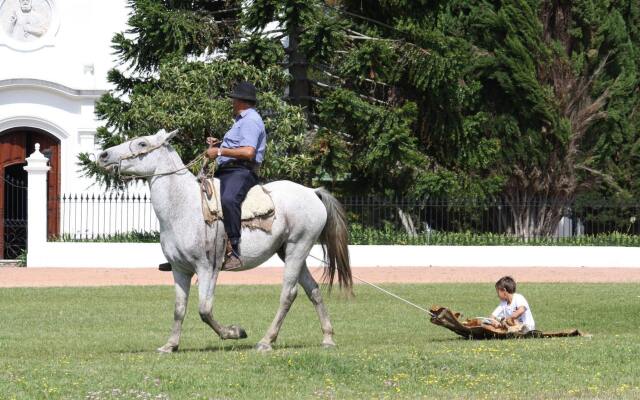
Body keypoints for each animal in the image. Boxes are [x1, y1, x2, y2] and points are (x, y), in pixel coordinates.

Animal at [97, 130, 352, 352]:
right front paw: (170, 345)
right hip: (290, 252)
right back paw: (328, 338)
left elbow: (204, 310)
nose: (103, 155)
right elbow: (179, 309)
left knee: (288, 294)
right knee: (313, 290)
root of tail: (312, 192)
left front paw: (235, 332)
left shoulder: (208, 268)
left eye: (142, 143)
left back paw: (266, 341)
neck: (183, 207)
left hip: (297, 249)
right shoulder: (180, 269)